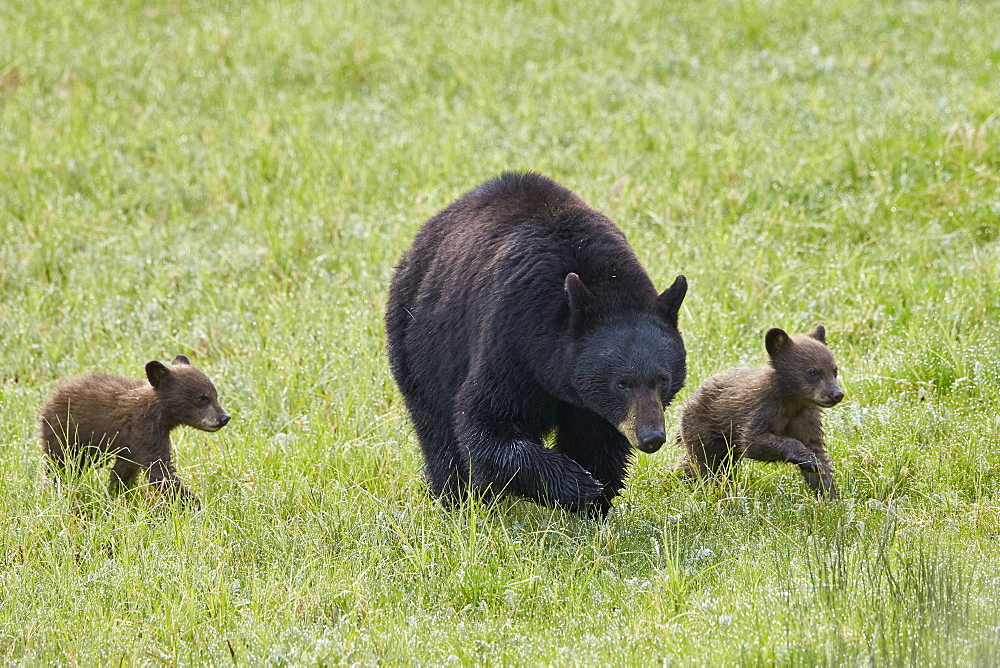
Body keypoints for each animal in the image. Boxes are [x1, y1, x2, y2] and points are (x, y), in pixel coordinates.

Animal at [38, 354, 230, 506]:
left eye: (215, 395)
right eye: (201, 398)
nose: (224, 417)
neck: (157, 412)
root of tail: (51, 395)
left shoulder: (132, 445)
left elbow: (124, 471)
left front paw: (119, 496)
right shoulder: (145, 431)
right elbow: (159, 472)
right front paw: (195, 505)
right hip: (64, 434)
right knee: (61, 465)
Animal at [384, 170, 688, 516]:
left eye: (663, 379)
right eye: (621, 383)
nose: (652, 437)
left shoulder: (589, 401)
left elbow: (596, 440)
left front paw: (594, 502)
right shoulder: (511, 337)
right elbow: (486, 421)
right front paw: (575, 484)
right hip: (420, 342)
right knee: (436, 427)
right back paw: (457, 498)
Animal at [672, 326, 844, 498]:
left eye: (834, 370)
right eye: (813, 371)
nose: (837, 394)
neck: (791, 400)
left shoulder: (805, 416)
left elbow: (818, 451)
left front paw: (829, 494)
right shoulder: (760, 408)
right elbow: (753, 441)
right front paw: (808, 459)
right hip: (705, 431)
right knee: (711, 465)